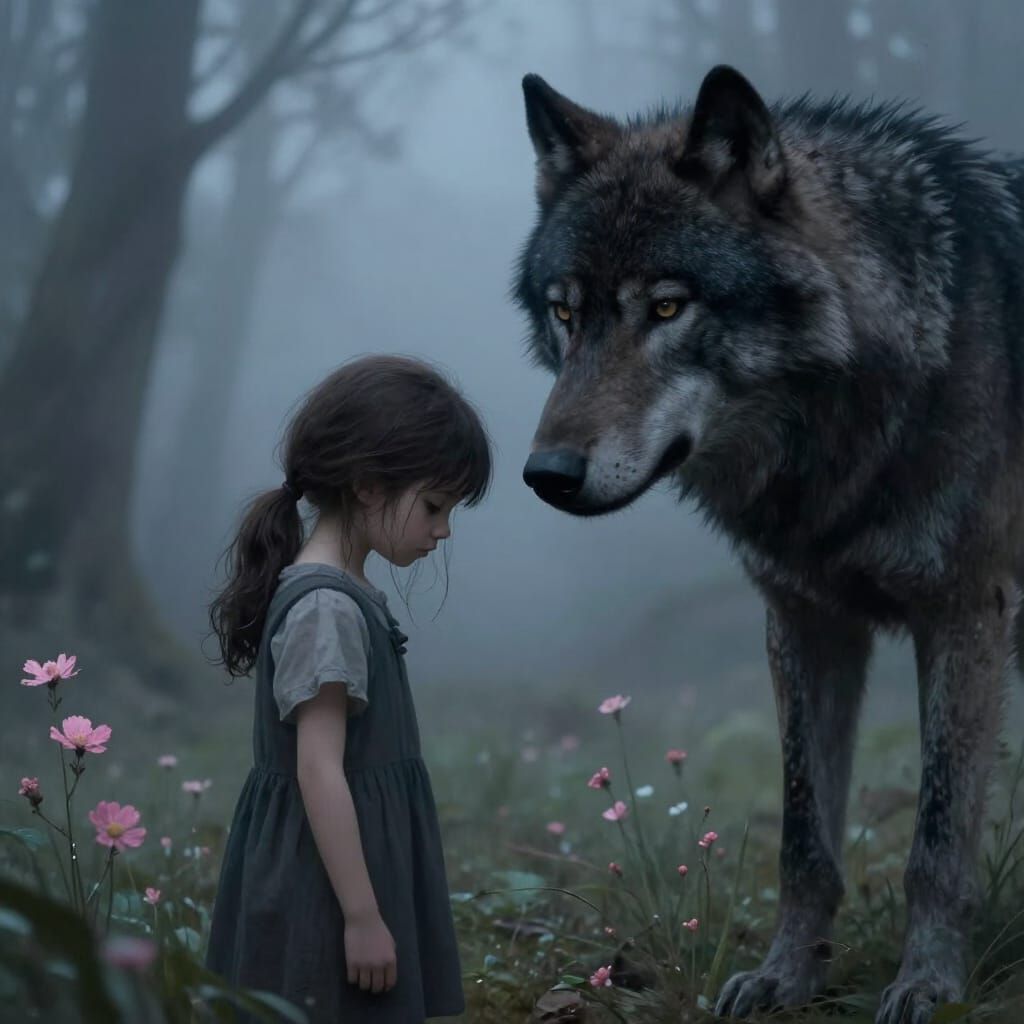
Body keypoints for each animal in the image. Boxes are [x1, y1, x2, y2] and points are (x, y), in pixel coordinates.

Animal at [513, 65, 1024, 1024]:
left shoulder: (966, 614)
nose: (546, 474)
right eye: (566, 313)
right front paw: (789, 978)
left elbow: (937, 840)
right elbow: (802, 840)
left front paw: (927, 983)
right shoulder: (803, 619)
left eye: (667, 306)